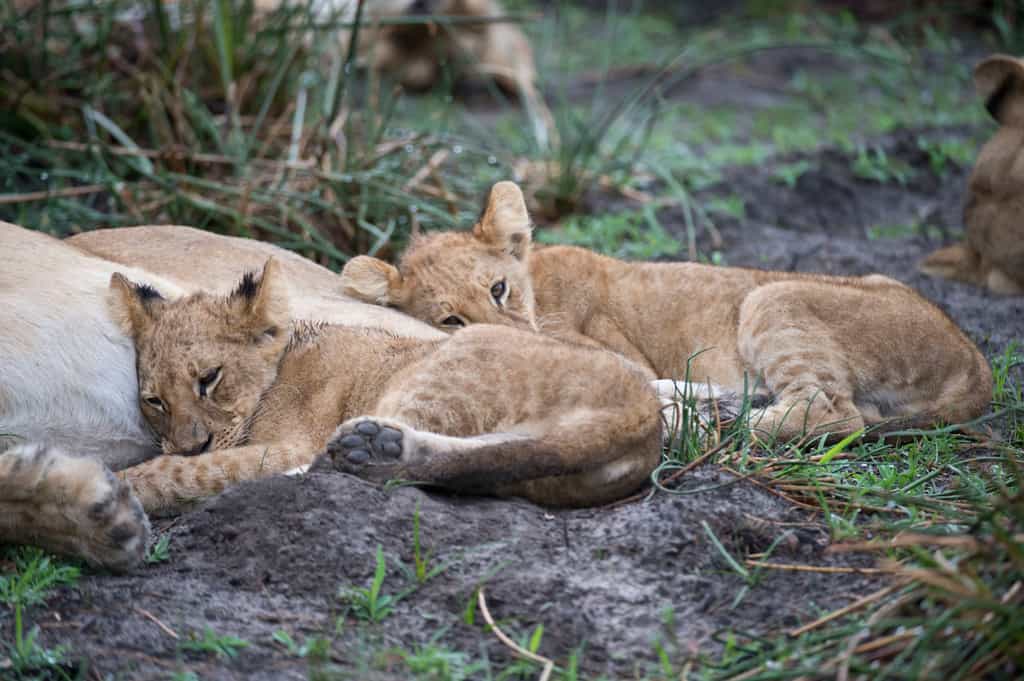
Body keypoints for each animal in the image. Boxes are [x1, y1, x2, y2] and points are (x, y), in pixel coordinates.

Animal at [340, 182, 994, 442]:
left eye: (498, 289)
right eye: (450, 319)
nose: (507, 333)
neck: (539, 285)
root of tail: (976, 360)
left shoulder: (607, 349)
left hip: (772, 296)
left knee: (834, 413)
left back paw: (727, 421)